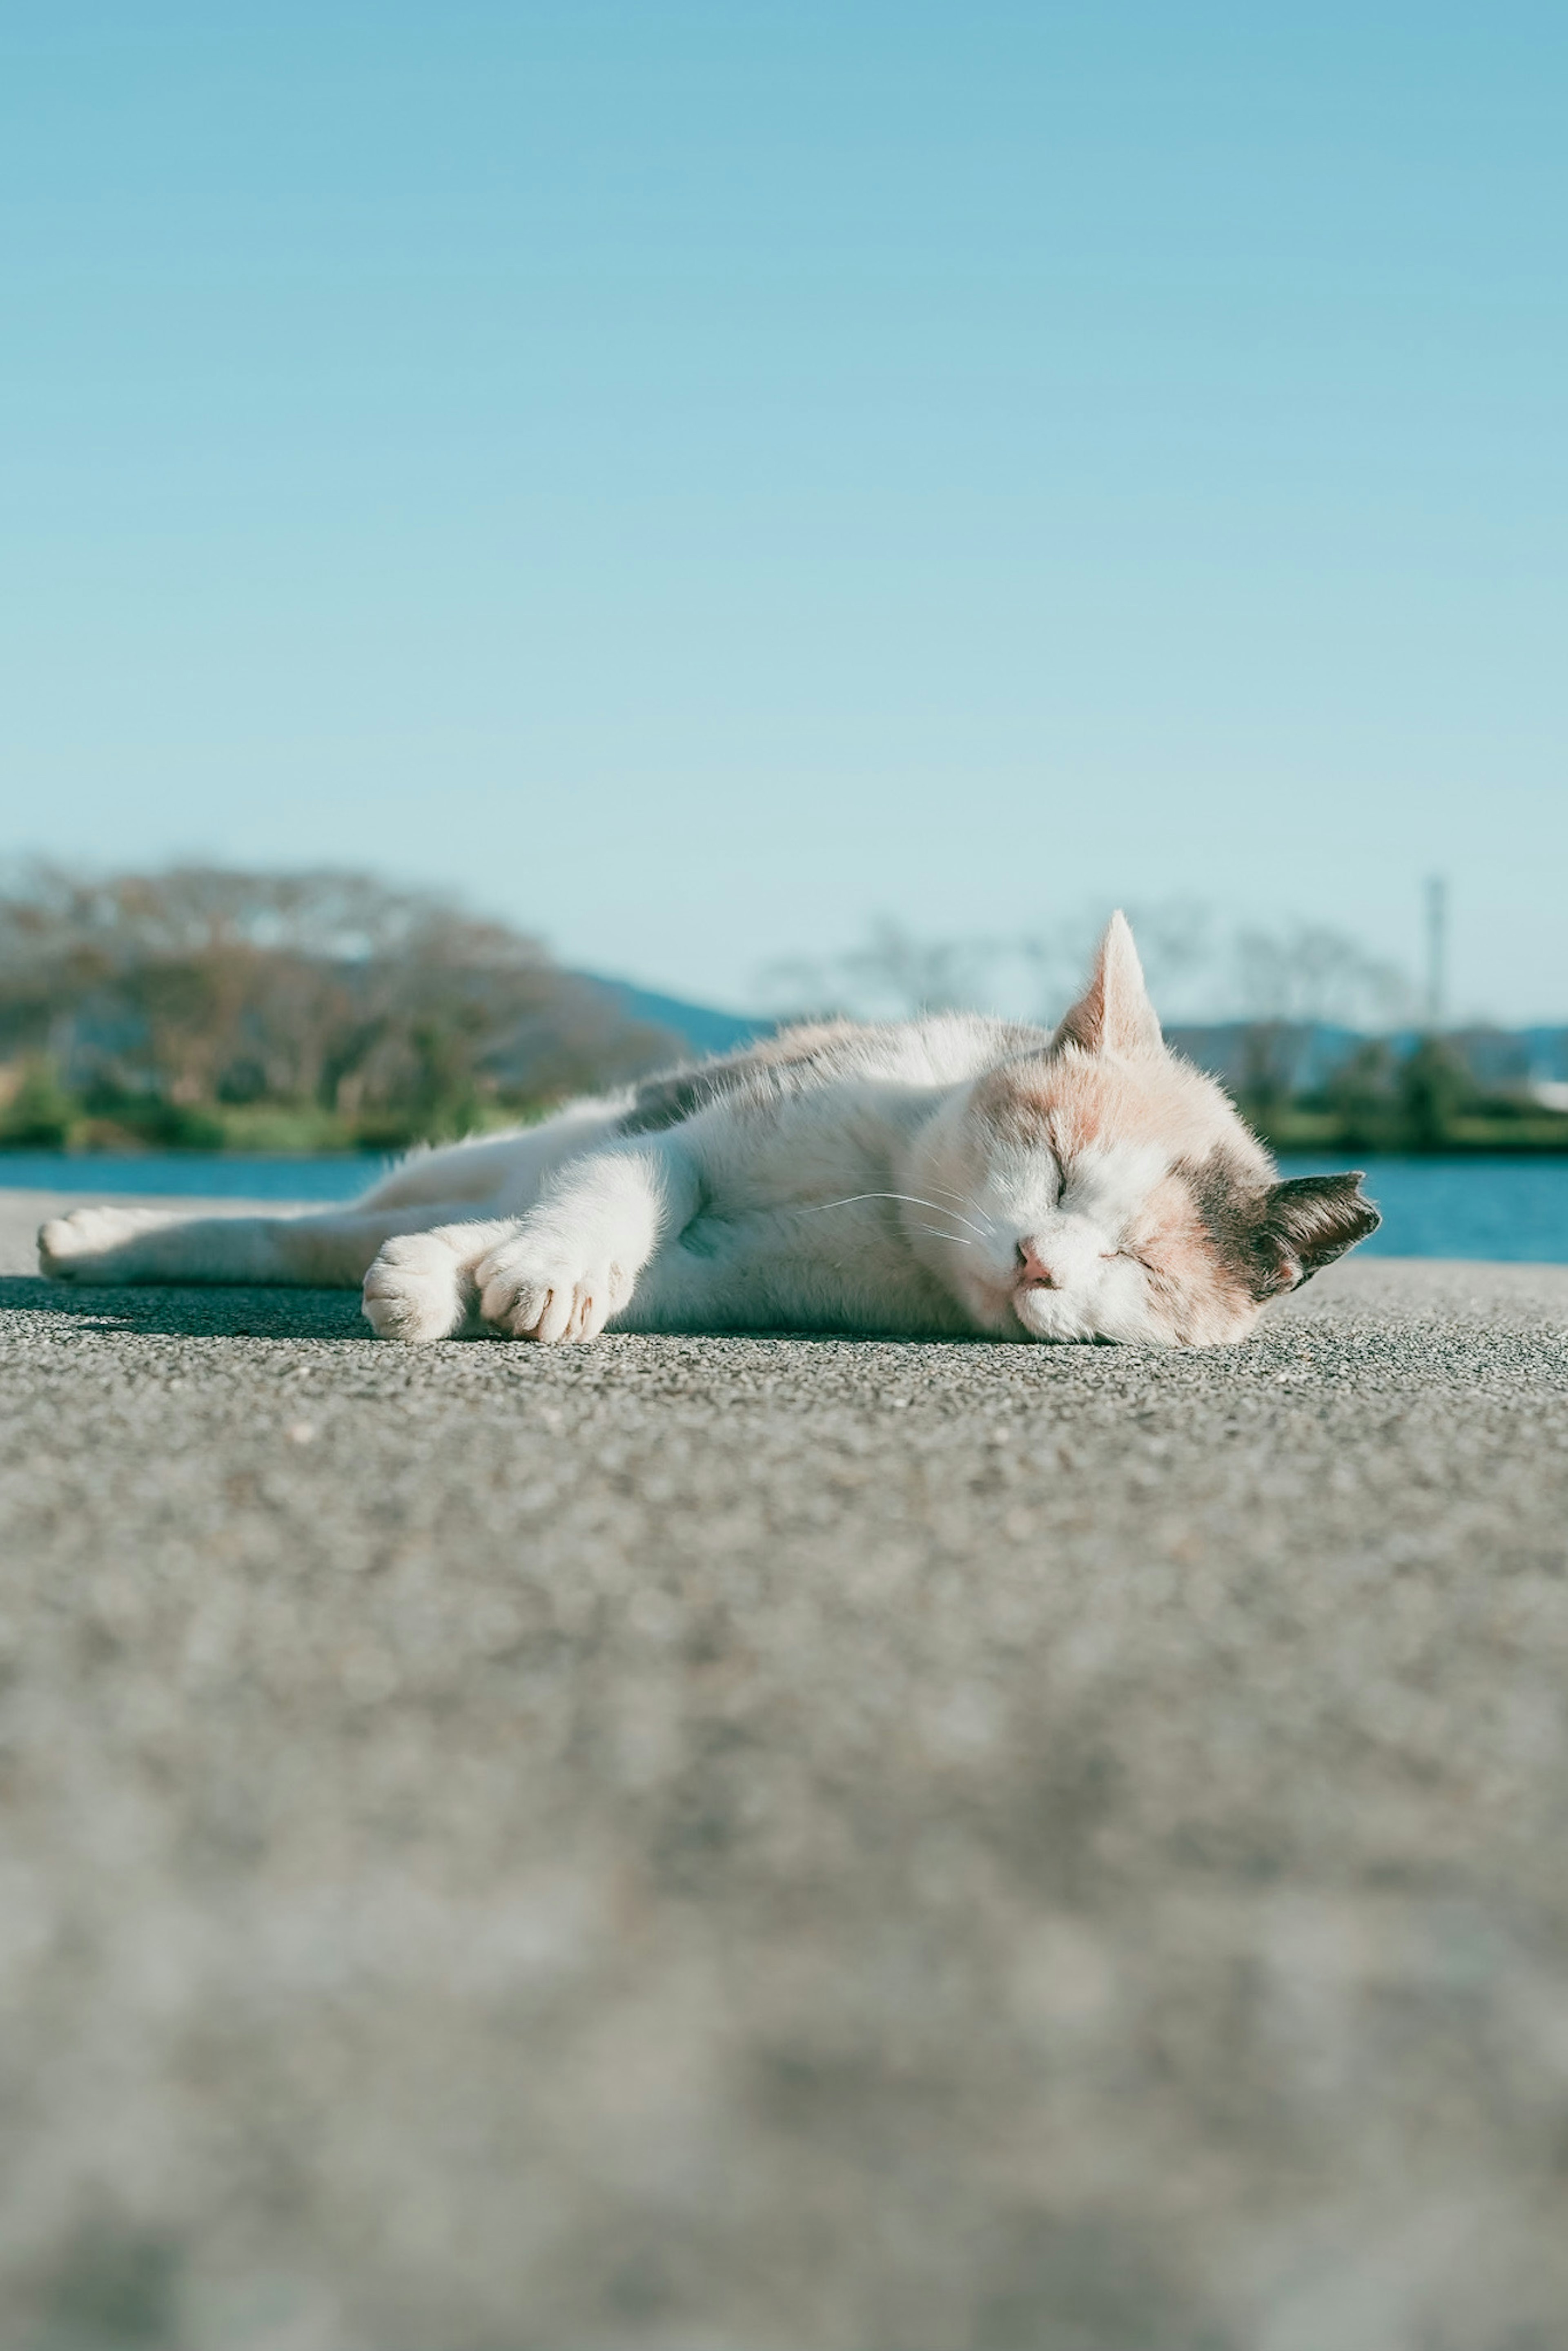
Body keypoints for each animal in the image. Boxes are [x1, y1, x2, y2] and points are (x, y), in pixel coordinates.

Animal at [36, 917, 1382, 1364]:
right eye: (1053, 1164)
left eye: (1137, 1265)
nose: (1039, 1261)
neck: (889, 1200)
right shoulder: (693, 1142)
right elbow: (625, 1192)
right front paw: (547, 1264)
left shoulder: (735, 1276)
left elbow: (610, 1261)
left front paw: (454, 1282)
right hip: (531, 1131)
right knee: (303, 1223)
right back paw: (96, 1233)